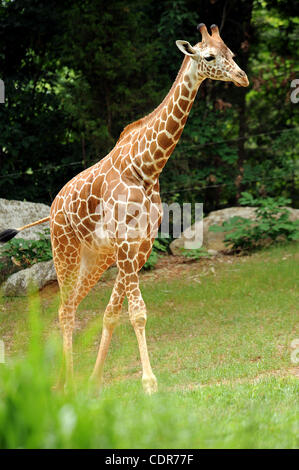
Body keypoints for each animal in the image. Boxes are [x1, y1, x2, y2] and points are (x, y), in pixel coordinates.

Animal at [0, 24, 248, 392]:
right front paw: (149, 383)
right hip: (64, 249)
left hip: (96, 258)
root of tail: (53, 207)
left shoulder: (140, 245)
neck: (147, 167)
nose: (242, 77)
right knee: (65, 309)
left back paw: (64, 381)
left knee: (71, 304)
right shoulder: (127, 244)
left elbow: (113, 313)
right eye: (208, 56)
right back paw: (67, 383)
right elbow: (137, 312)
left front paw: (95, 379)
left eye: (231, 52)